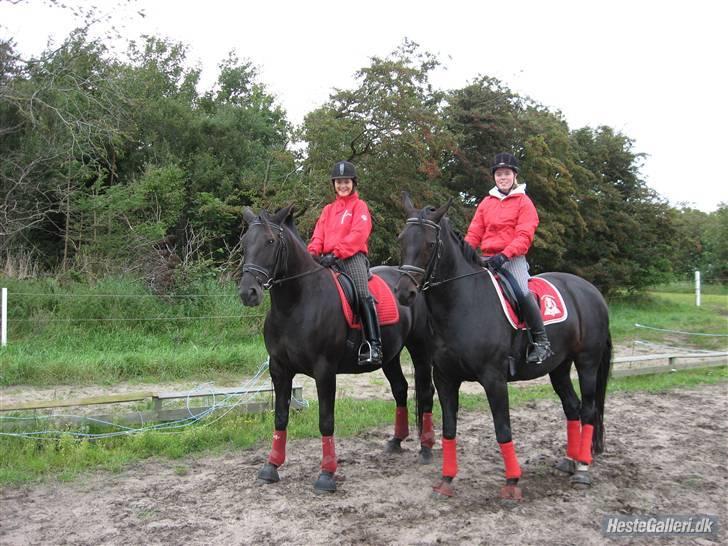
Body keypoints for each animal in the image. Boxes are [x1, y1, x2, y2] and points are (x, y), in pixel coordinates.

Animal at [239, 205, 436, 492]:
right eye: (244, 243)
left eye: (270, 241)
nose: (248, 292)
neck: (295, 305)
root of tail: (413, 283)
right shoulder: (279, 369)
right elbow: (281, 417)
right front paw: (271, 466)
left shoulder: (324, 372)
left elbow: (326, 420)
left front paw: (326, 475)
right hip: (389, 356)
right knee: (400, 389)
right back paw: (396, 441)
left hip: (420, 350)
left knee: (425, 391)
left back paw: (427, 448)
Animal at [396, 193, 612, 496]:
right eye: (401, 239)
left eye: (429, 244)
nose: (404, 292)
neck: (462, 303)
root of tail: (591, 291)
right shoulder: (445, 378)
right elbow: (449, 429)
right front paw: (446, 480)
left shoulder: (494, 379)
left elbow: (503, 428)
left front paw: (512, 483)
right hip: (558, 367)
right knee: (572, 406)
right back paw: (569, 461)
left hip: (587, 363)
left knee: (589, 410)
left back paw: (582, 468)